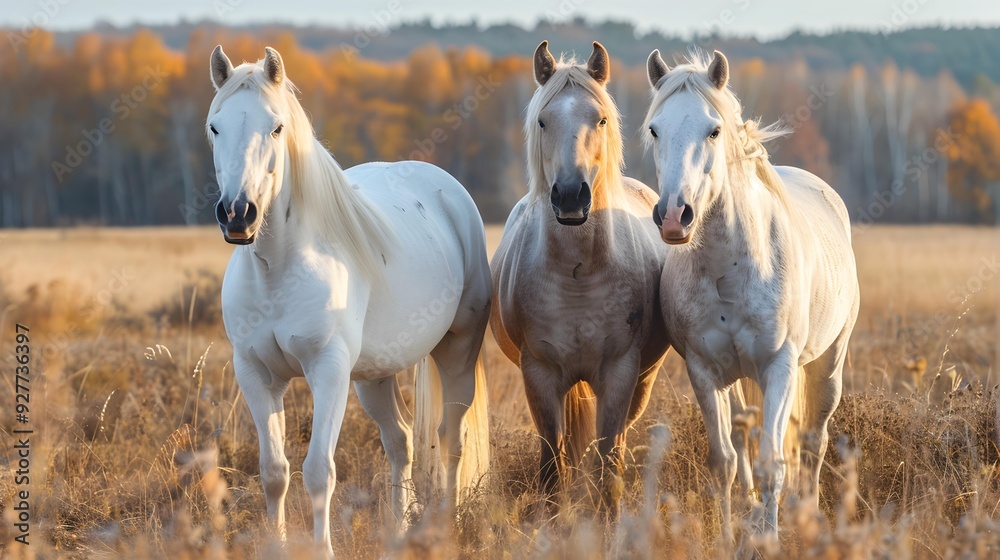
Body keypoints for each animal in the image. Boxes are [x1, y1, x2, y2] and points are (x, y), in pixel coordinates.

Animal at [206, 45, 491, 556]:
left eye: (276, 127)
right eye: (215, 127)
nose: (238, 215)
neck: (278, 269)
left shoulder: (329, 370)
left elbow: (319, 472)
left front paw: (321, 549)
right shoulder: (256, 374)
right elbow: (273, 472)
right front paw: (278, 545)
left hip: (457, 351)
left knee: (450, 439)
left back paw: (446, 525)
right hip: (373, 377)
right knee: (401, 441)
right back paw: (398, 530)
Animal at [490, 41, 670, 516]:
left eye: (601, 119)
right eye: (542, 120)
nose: (571, 197)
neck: (577, 275)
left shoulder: (621, 372)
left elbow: (608, 460)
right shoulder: (539, 374)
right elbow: (553, 465)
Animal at [643, 49, 860, 538]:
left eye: (714, 129)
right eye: (654, 129)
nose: (674, 216)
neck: (732, 270)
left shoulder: (779, 367)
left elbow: (772, 463)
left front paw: (771, 537)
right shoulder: (703, 372)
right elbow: (724, 461)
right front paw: (729, 536)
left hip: (827, 365)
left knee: (812, 442)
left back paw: (806, 514)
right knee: (746, 441)